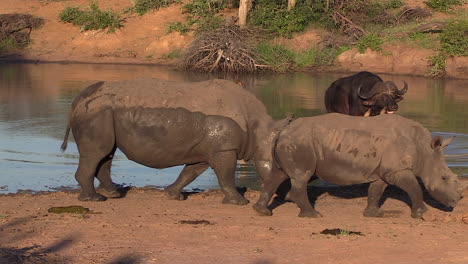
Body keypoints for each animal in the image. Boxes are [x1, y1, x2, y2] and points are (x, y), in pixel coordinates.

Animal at [60, 79, 288, 205]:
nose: (284, 194)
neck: (261, 128)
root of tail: (79, 99)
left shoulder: (206, 149)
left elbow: (190, 172)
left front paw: (173, 195)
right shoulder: (224, 149)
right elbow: (226, 176)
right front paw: (239, 202)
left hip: (104, 113)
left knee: (106, 153)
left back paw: (113, 194)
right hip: (96, 113)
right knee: (96, 153)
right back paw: (95, 200)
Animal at [258, 113, 466, 219]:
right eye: (444, 178)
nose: (455, 202)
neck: (424, 149)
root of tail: (283, 130)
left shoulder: (384, 171)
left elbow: (376, 190)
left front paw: (374, 214)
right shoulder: (396, 170)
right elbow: (414, 187)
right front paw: (422, 213)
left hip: (292, 140)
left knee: (277, 175)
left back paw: (262, 212)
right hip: (300, 141)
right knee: (301, 177)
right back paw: (313, 215)